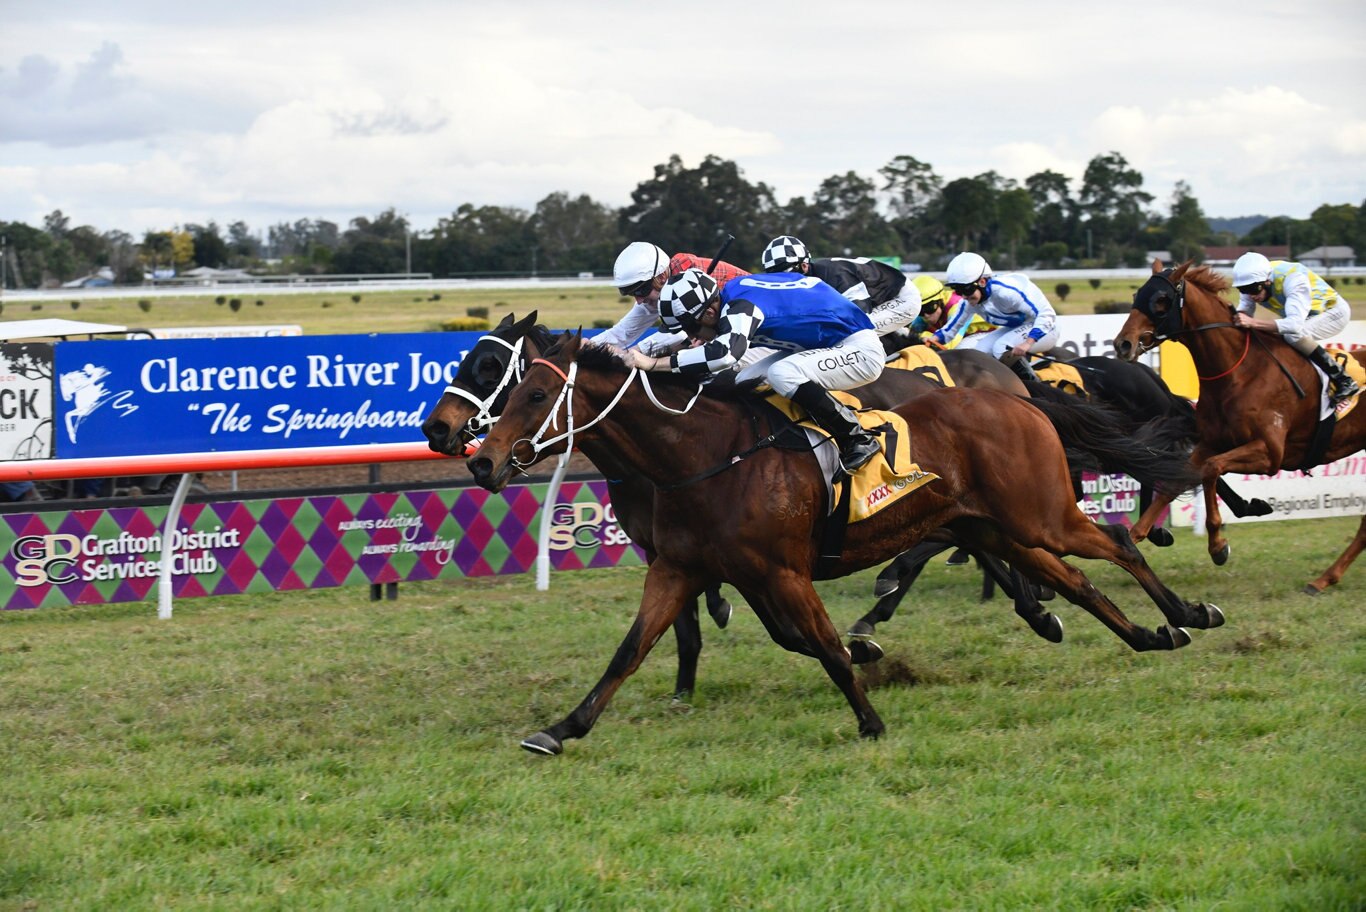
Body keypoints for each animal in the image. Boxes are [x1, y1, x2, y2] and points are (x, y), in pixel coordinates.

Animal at [461, 334, 1218, 753]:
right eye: (510, 389)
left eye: (533, 396)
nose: (480, 461)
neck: (703, 454)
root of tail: (1022, 397)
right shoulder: (679, 568)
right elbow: (629, 652)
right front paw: (561, 729)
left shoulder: (782, 572)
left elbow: (823, 645)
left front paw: (870, 718)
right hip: (995, 525)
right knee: (1075, 583)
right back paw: (1150, 634)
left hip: (1040, 515)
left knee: (1116, 543)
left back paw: (1187, 613)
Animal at [1114, 259, 1360, 595]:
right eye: (1137, 294)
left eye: (1162, 300)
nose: (1122, 344)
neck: (1238, 371)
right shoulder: (1209, 443)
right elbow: (1179, 480)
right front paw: (1134, 536)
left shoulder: (1270, 454)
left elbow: (1211, 470)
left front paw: (1218, 545)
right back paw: (1325, 578)